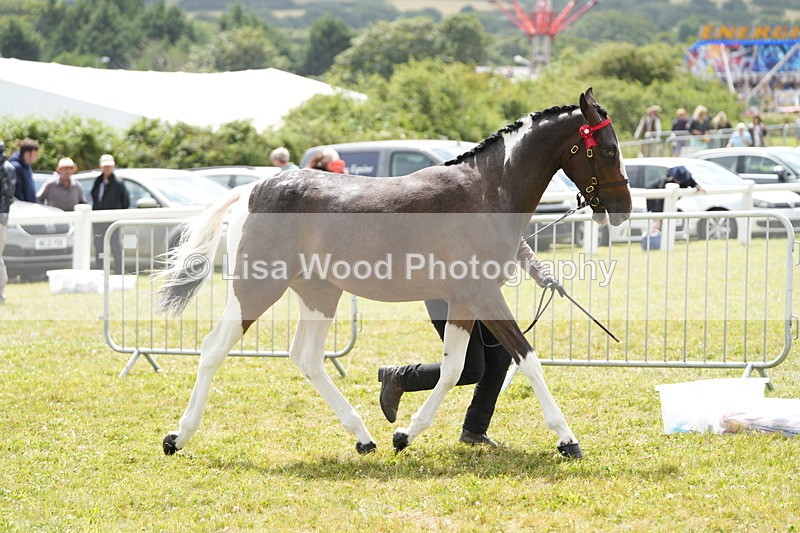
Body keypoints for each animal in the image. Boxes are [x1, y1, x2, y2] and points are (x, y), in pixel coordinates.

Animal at [156, 88, 632, 459]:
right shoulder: (483, 294)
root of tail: (250, 190)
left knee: (306, 358)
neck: (486, 192)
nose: (624, 209)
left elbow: (455, 368)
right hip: (257, 288)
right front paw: (568, 440)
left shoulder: (463, 300)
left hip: (319, 293)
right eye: (608, 149)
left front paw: (404, 434)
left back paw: (364, 438)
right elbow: (527, 358)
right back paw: (177, 437)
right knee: (213, 349)